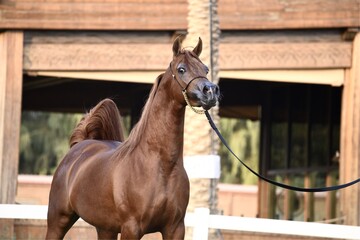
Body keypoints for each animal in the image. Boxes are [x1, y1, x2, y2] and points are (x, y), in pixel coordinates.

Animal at [45, 36, 219, 240]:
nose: (210, 91)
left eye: (205, 69)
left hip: (106, 228)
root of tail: (79, 146)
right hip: (58, 221)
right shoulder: (132, 228)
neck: (161, 167)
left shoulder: (175, 228)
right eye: (181, 69)